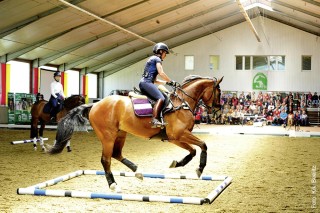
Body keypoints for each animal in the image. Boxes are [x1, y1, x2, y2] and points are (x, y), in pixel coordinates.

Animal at [48, 75, 222, 192]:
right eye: (219, 93)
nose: (218, 110)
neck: (181, 103)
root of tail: (95, 105)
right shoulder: (177, 135)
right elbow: (202, 145)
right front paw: (200, 168)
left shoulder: (176, 138)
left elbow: (192, 151)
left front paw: (177, 163)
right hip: (107, 136)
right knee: (106, 160)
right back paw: (113, 185)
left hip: (120, 134)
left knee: (116, 154)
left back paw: (137, 172)